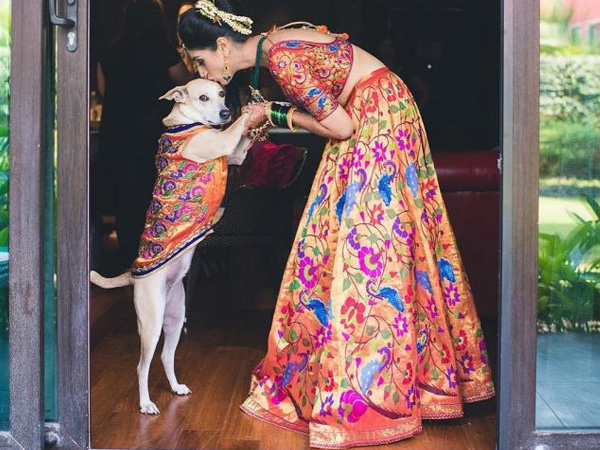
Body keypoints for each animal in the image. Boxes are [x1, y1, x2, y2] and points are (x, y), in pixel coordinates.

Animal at [90, 78, 252, 414]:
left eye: (221, 94)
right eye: (203, 97)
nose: (226, 111)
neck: (187, 124)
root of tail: (133, 276)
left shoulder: (235, 155)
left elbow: (243, 144)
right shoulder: (219, 143)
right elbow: (232, 132)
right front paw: (251, 111)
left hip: (176, 318)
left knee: (166, 356)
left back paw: (176, 388)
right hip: (151, 325)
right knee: (142, 366)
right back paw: (146, 404)